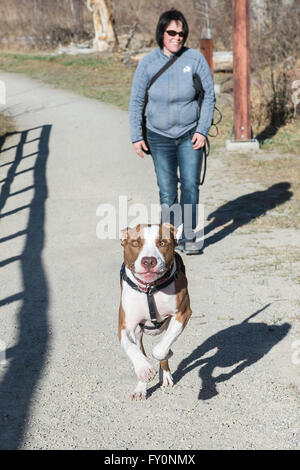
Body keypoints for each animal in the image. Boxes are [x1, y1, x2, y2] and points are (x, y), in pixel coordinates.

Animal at [118, 224, 191, 400]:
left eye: (163, 243)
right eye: (135, 243)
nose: (149, 261)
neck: (150, 289)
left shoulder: (183, 313)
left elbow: (159, 351)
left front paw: (166, 355)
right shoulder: (126, 326)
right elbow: (131, 348)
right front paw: (144, 370)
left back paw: (165, 374)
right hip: (138, 333)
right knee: (140, 350)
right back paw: (140, 387)